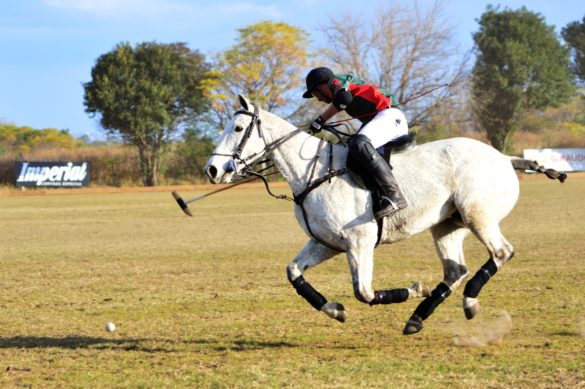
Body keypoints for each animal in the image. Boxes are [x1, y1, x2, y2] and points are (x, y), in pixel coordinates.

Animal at [203, 94, 564, 334]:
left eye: (238, 127)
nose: (213, 170)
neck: (313, 171)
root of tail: (505, 158)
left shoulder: (359, 242)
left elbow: (363, 292)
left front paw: (414, 288)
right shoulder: (327, 243)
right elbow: (294, 272)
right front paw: (335, 310)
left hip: (479, 215)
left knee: (501, 252)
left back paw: (468, 302)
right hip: (447, 224)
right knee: (455, 269)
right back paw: (417, 318)